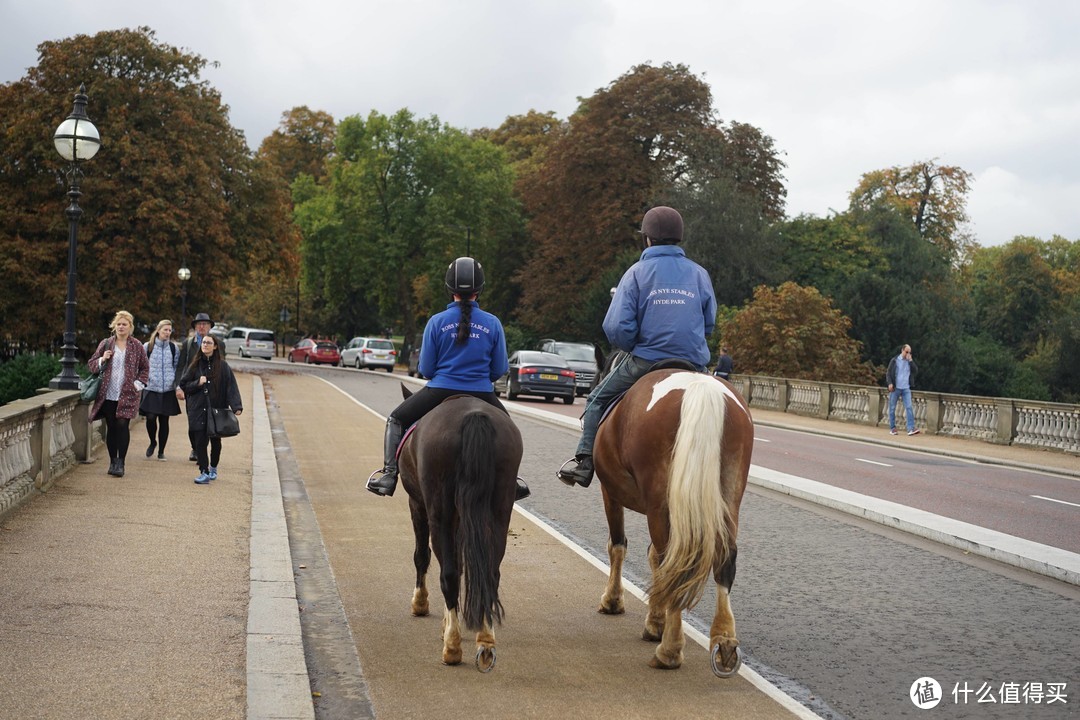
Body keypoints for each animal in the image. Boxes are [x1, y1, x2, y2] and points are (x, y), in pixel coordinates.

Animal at [397, 390, 522, 673]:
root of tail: (473, 415)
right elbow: (464, 563)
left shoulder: (417, 504)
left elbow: (422, 556)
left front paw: (421, 604)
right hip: (499, 510)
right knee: (490, 572)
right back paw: (485, 642)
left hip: (439, 510)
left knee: (449, 574)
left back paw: (452, 647)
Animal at [591, 358, 751, 677]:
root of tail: (701, 388)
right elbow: (652, 557)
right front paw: (656, 619)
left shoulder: (610, 492)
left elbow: (618, 546)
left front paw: (616, 602)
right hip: (728, 498)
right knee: (722, 560)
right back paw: (725, 642)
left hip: (659, 502)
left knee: (673, 563)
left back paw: (669, 651)